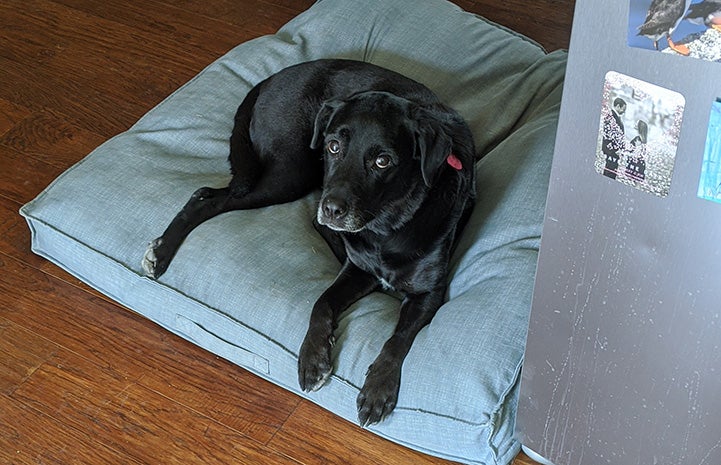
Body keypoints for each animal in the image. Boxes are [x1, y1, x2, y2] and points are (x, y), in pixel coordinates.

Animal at [142, 59, 478, 426]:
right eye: (333, 146)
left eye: (382, 161)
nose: (332, 209)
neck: (385, 227)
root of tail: (274, 77)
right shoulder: (357, 271)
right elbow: (321, 302)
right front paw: (313, 357)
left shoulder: (428, 294)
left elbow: (398, 338)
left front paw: (378, 388)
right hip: (291, 173)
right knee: (206, 197)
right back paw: (161, 252)